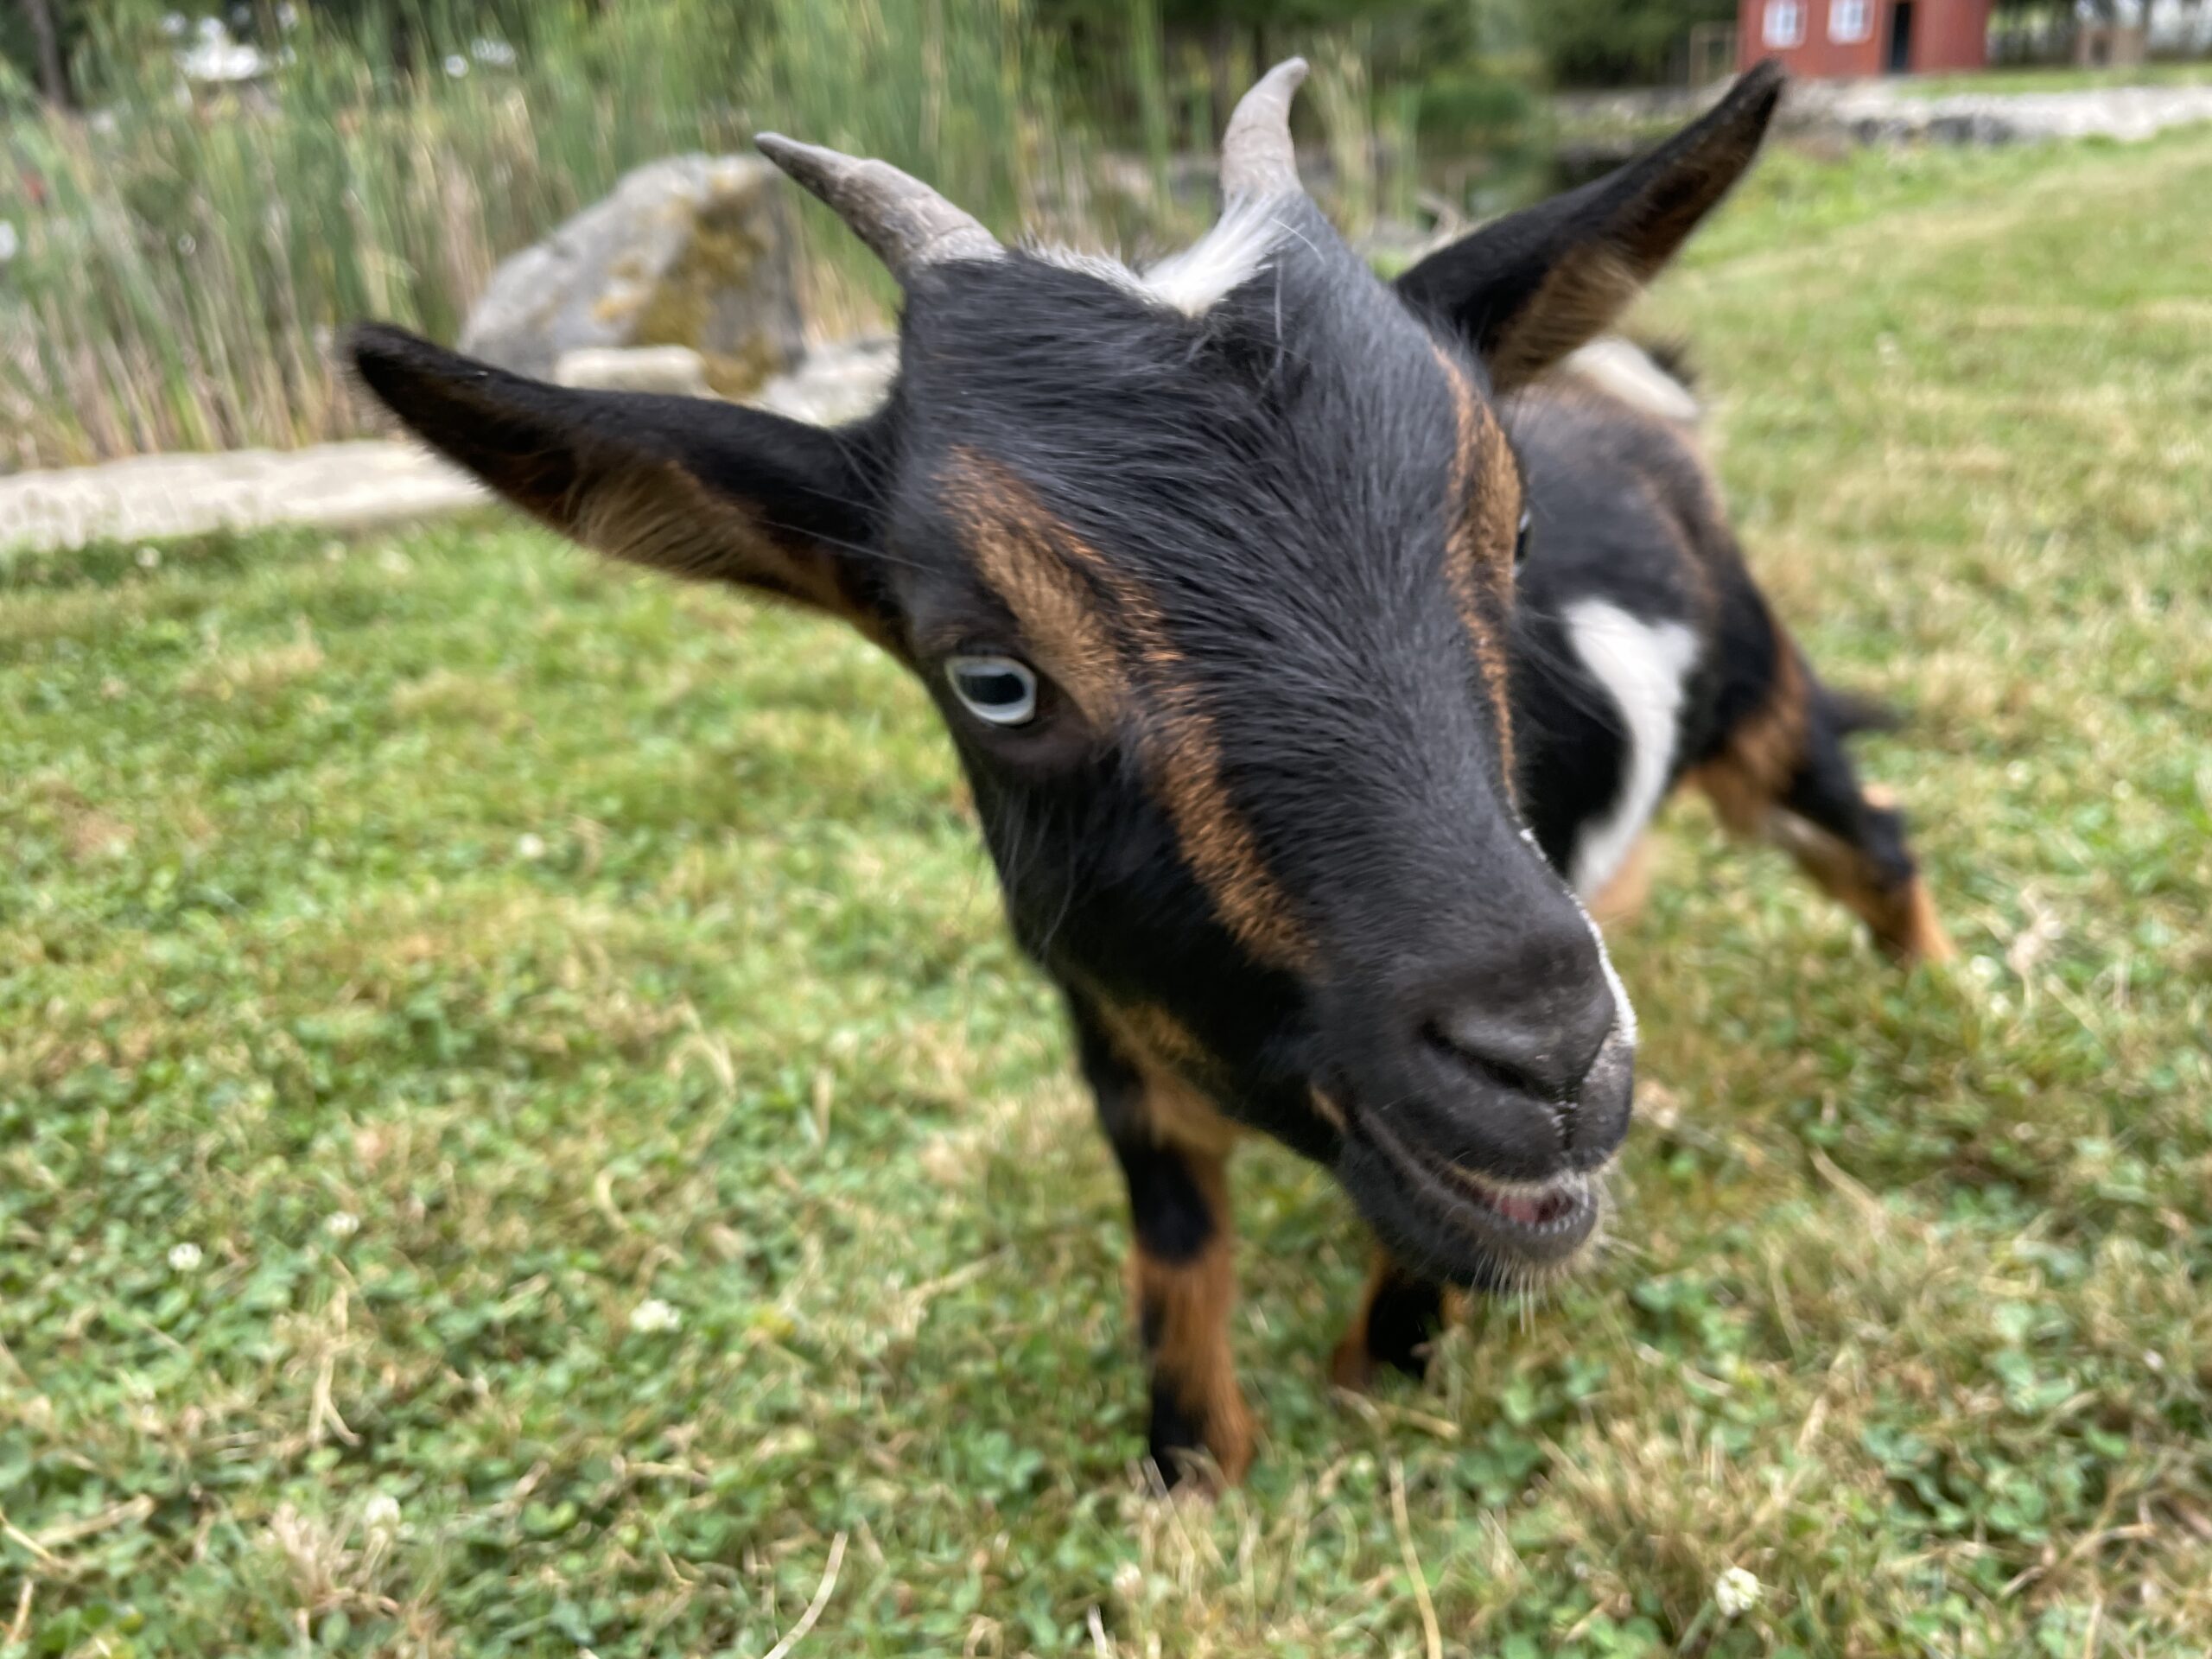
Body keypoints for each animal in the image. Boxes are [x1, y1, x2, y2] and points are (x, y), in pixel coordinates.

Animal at [346, 59, 1951, 1487]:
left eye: (1512, 534)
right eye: (991, 677)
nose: (1549, 1061)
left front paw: (1381, 1374)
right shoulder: (1112, 1034)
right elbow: (1174, 1260)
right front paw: (1192, 1468)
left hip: (1759, 709)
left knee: (1873, 831)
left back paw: (1936, 1000)